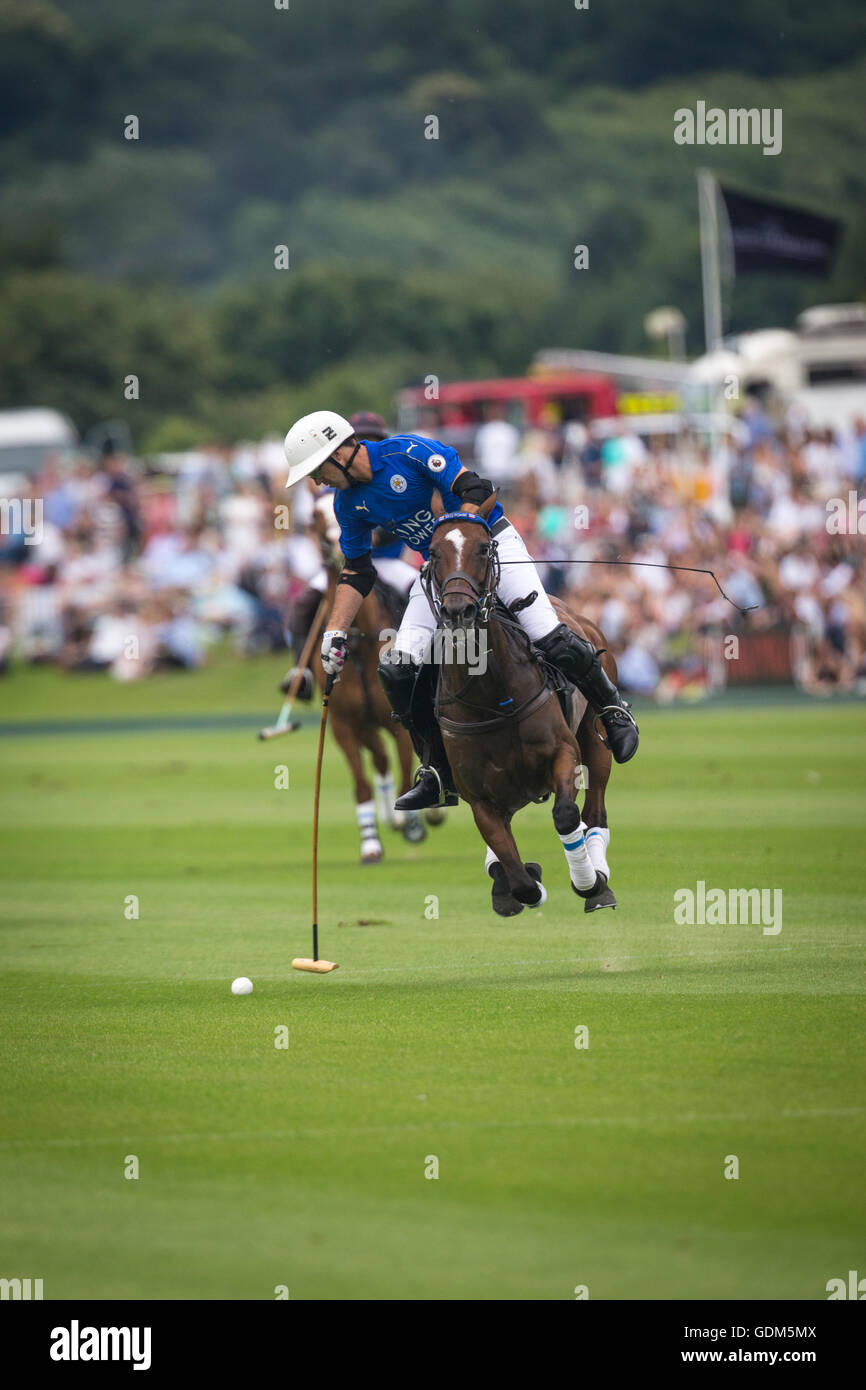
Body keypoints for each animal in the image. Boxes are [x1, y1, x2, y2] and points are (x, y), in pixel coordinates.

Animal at [425, 494, 617, 917]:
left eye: (484, 547)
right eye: (432, 551)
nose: (458, 611)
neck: (493, 697)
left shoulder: (563, 754)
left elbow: (566, 814)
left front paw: (587, 882)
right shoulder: (481, 798)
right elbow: (520, 879)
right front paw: (522, 882)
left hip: (595, 739)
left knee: (594, 810)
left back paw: (599, 883)